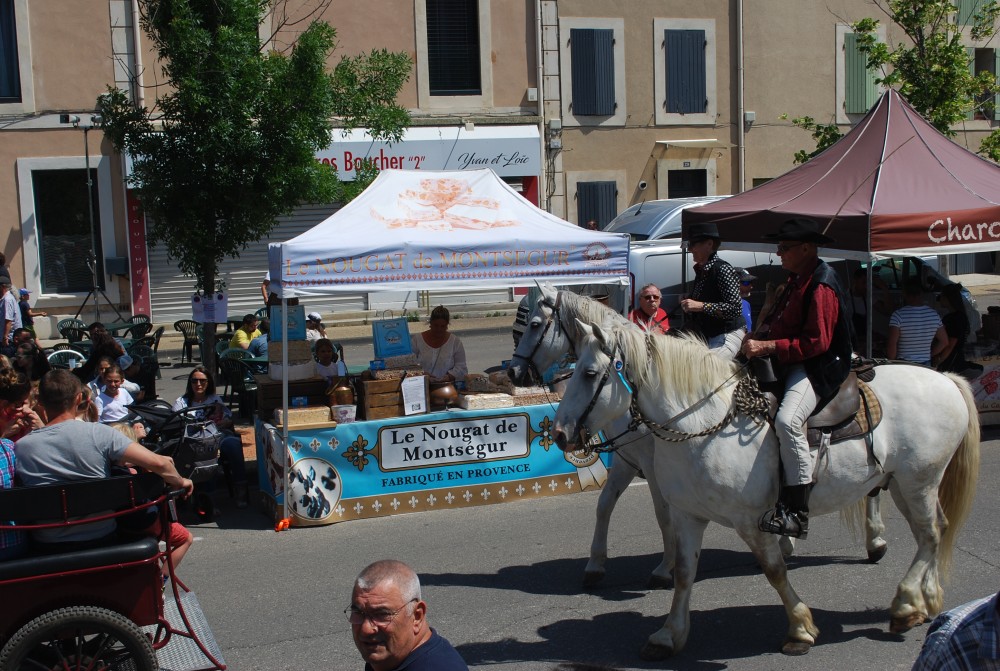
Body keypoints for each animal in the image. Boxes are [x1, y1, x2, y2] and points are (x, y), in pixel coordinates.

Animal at [512, 288, 888, 588]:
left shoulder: (653, 466)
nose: (514, 371)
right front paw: (595, 565)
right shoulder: (626, 460)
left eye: (534, 324)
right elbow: (605, 505)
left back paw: (873, 541)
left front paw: (665, 568)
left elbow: (663, 514)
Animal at [552, 322, 980, 660]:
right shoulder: (689, 515)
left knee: (930, 535)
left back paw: (906, 605)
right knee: (933, 533)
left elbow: (774, 571)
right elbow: (685, 574)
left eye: (590, 373)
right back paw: (926, 601)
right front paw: (668, 635)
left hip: (919, 481)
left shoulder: (751, 521)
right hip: (905, 486)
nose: (558, 433)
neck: (703, 424)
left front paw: (800, 629)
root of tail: (946, 378)